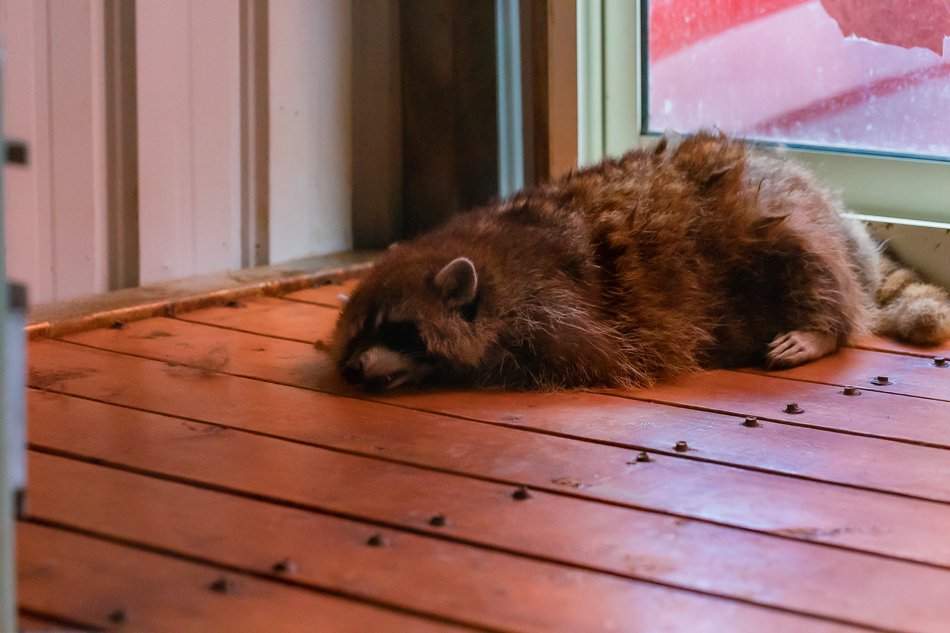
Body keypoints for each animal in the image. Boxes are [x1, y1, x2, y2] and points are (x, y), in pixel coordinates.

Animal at [332, 133, 950, 390]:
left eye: (398, 328)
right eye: (358, 330)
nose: (352, 369)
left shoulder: (557, 311)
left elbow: (577, 355)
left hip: (785, 222)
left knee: (812, 266)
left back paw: (823, 326)